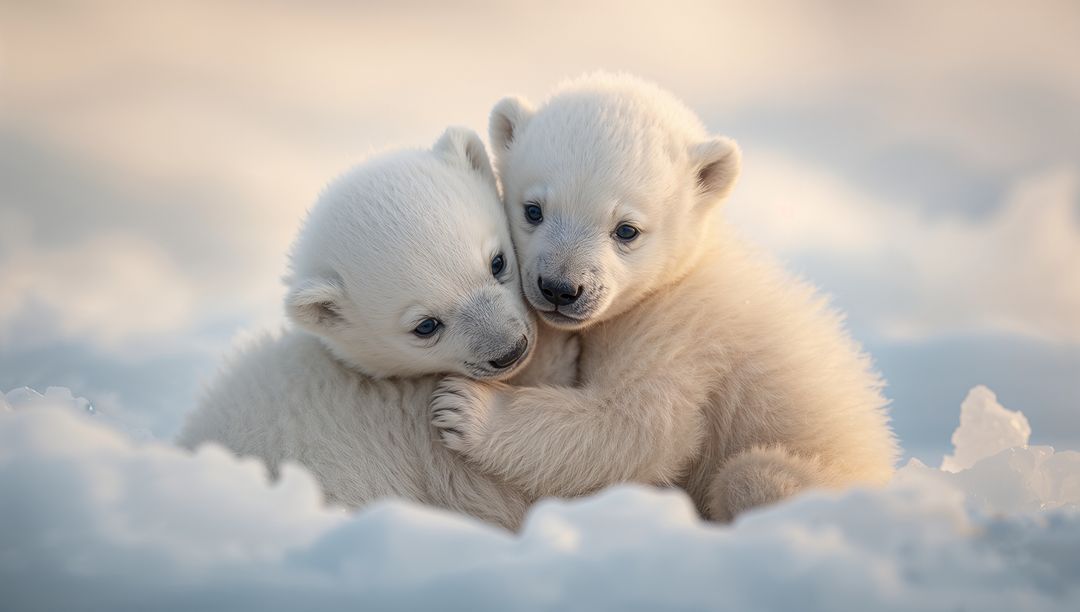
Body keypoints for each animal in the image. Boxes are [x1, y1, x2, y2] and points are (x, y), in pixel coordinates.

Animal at [429, 74, 899, 522]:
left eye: (626, 230)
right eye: (533, 210)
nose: (560, 288)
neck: (684, 271)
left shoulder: (680, 331)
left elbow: (639, 426)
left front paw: (464, 406)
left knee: (750, 474)